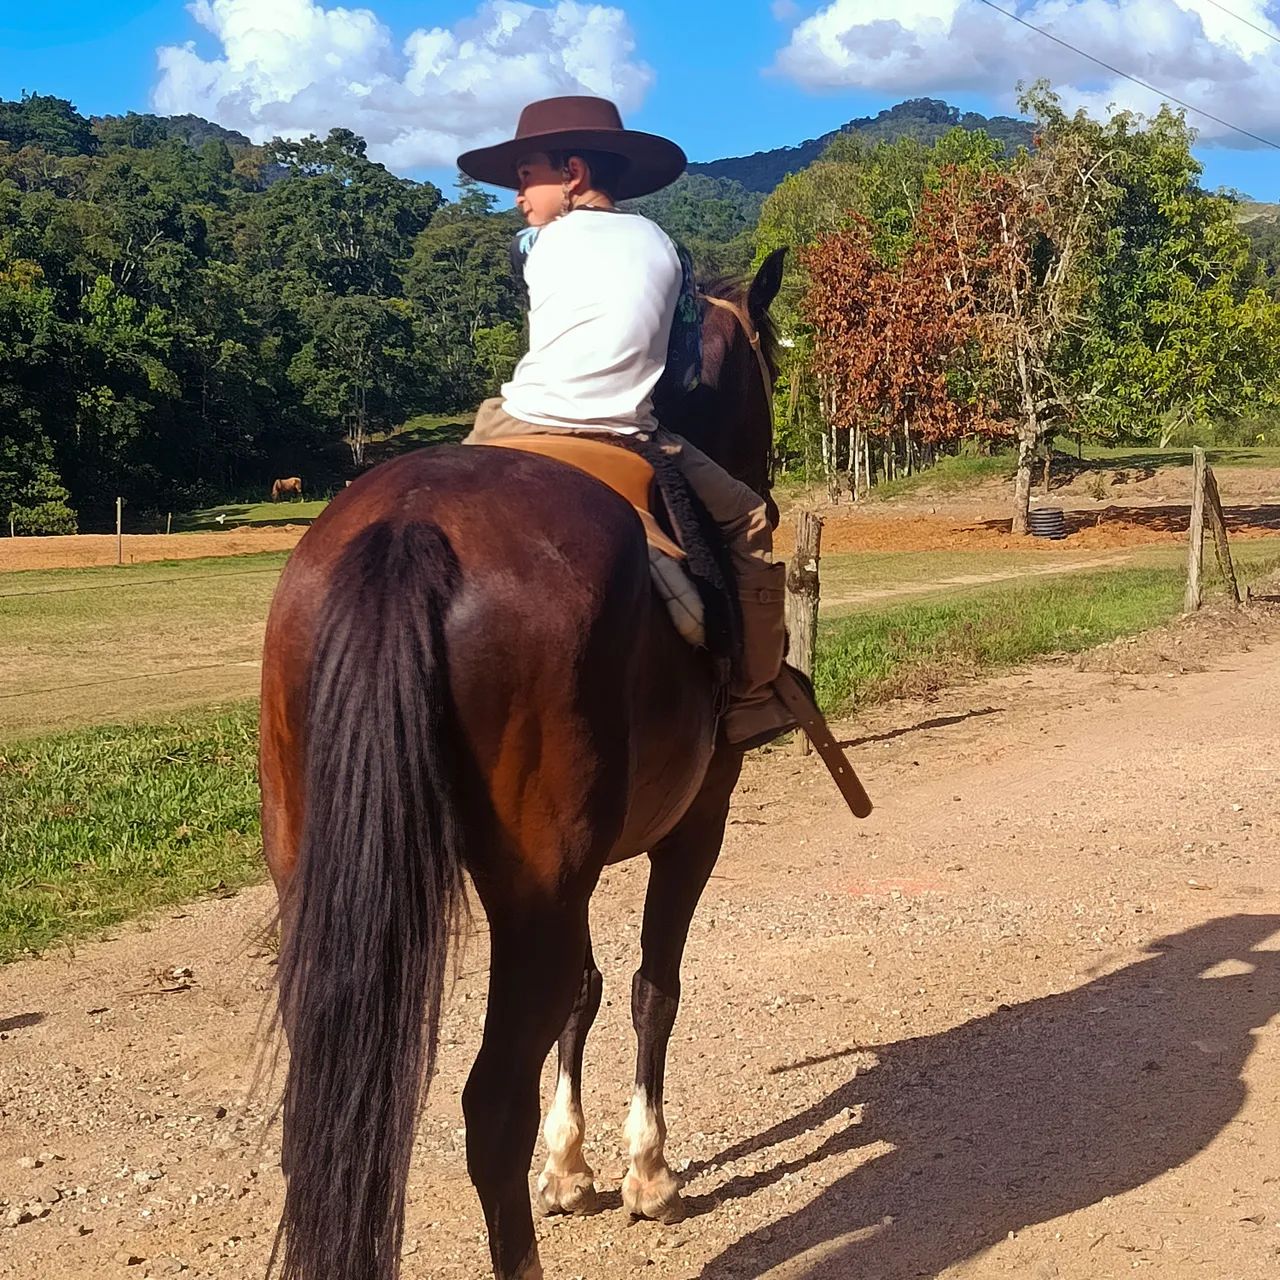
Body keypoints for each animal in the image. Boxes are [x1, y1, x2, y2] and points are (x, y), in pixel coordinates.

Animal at [259, 249, 787, 1280]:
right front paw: (645, 1172)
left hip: (329, 868)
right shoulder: (696, 821)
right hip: (539, 888)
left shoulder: (577, 870)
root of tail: (410, 528)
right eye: (775, 364)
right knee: (486, 1106)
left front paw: (571, 1165)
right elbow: (651, 987)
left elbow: (586, 992)